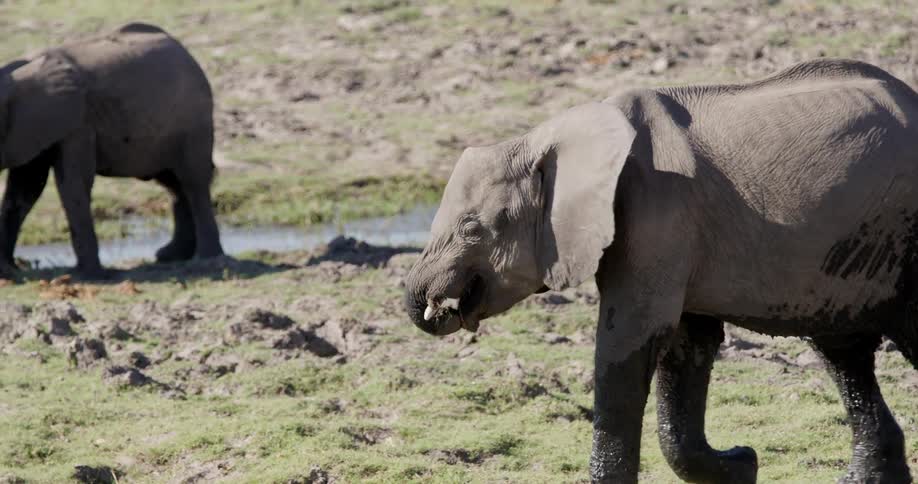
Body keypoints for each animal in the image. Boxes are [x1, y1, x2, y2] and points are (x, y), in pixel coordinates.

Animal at [0, 22, 223, 278]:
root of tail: (185, 51)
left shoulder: (78, 125)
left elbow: (72, 184)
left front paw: (90, 275)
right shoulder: (30, 128)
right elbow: (24, 189)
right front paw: (7, 270)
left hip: (194, 122)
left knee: (193, 181)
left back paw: (206, 259)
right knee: (174, 184)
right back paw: (169, 256)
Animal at [404, 58, 918, 483]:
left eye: (472, 228)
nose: (438, 306)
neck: (550, 137)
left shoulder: (657, 213)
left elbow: (628, 345)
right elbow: (687, 345)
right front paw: (742, 467)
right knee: (844, 353)